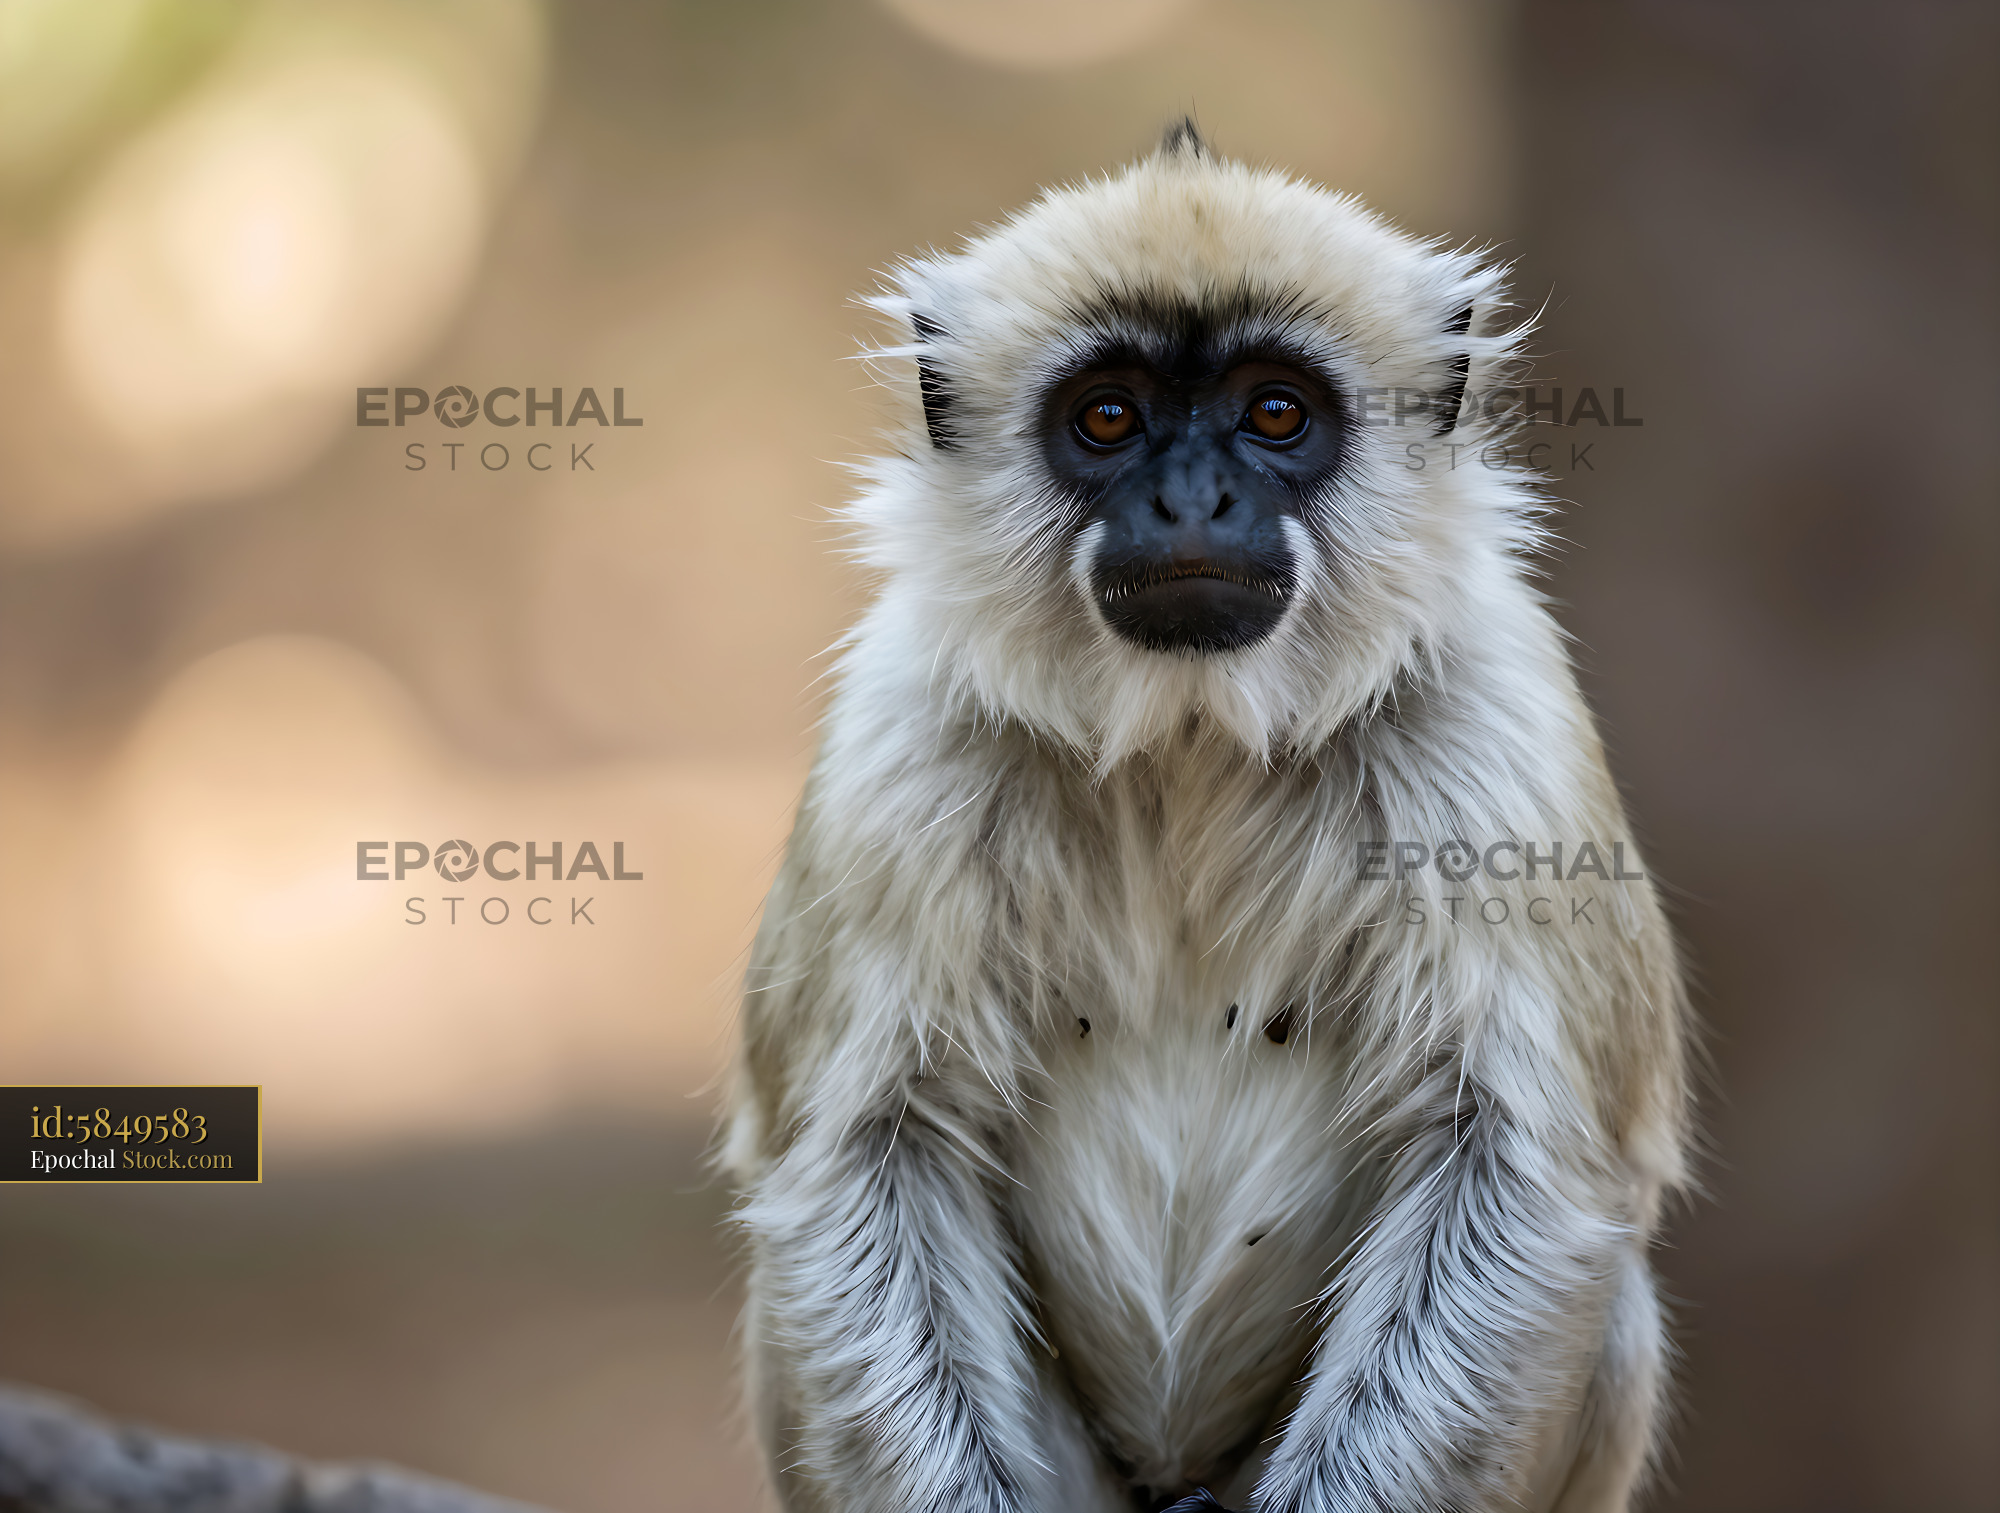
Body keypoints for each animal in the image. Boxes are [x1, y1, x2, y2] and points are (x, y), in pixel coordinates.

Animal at [723, 123, 1691, 1513]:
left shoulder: (1489, 724)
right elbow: (856, 1167)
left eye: (1272, 413)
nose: (1190, 502)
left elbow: (1524, 1182)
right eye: (1109, 418)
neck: (1190, 743)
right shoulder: (902, 736)